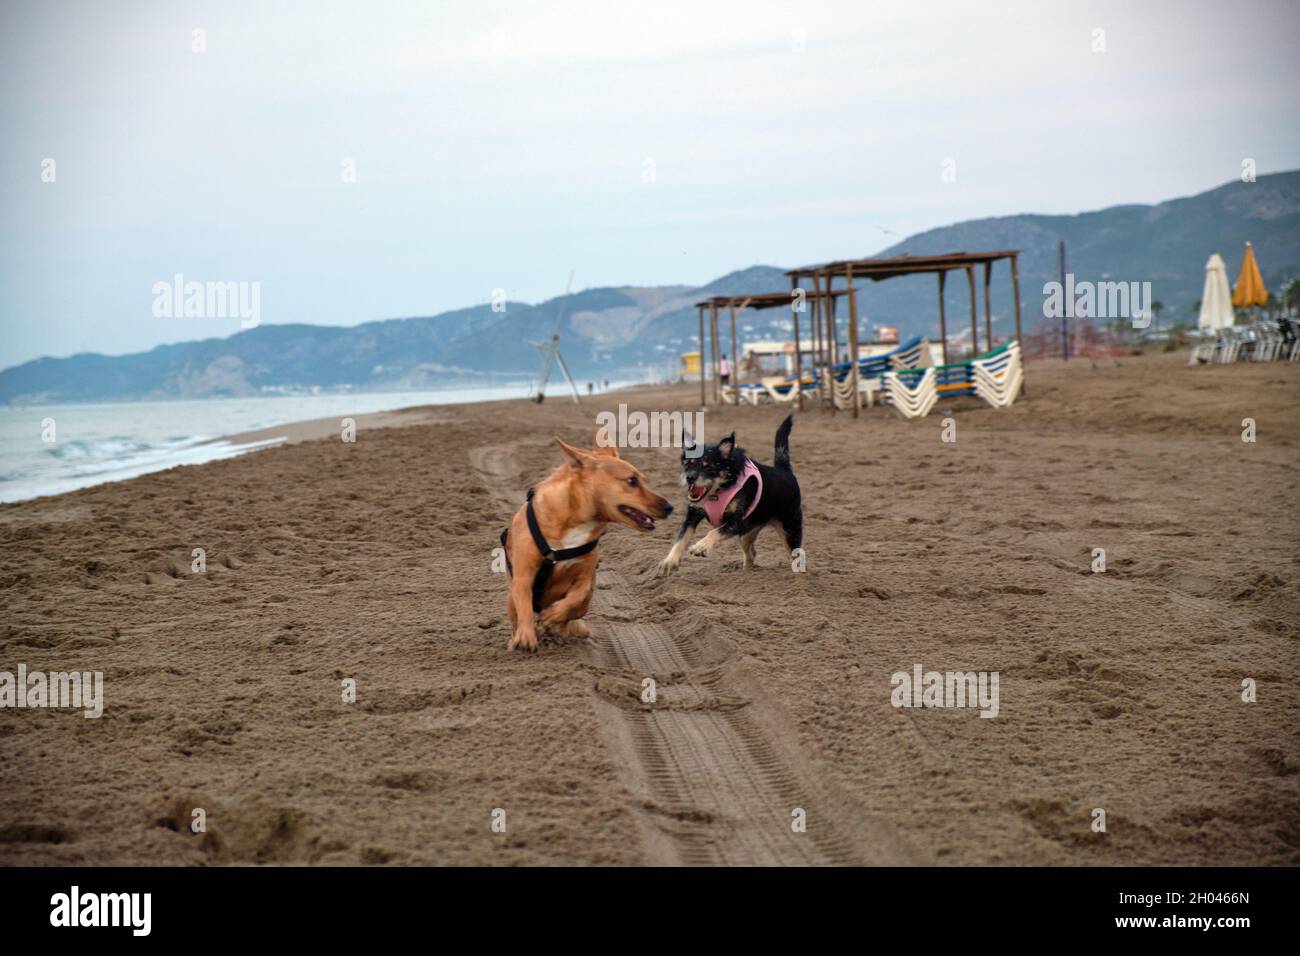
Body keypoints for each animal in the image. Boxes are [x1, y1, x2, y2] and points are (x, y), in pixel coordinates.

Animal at [501, 437, 676, 655]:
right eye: (632, 481)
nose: (670, 507)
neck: (576, 519)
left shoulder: (585, 577)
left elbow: (578, 596)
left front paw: (553, 615)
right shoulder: (523, 575)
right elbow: (524, 604)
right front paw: (525, 636)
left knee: (575, 612)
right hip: (510, 599)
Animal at [660, 413, 800, 574]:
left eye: (708, 467)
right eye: (687, 464)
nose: (689, 478)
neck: (719, 490)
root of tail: (784, 470)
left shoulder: (736, 522)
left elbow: (714, 532)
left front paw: (700, 547)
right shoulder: (692, 516)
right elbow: (681, 538)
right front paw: (670, 561)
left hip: (790, 530)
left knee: (796, 556)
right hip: (747, 534)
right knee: (751, 553)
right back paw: (746, 573)